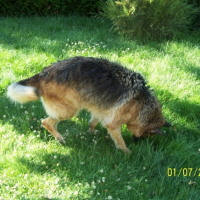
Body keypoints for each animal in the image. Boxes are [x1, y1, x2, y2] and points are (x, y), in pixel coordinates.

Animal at [7, 56, 171, 153]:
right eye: (146, 134)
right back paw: (60, 138)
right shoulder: (113, 124)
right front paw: (128, 152)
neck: (143, 105)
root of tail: (44, 73)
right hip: (69, 110)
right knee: (46, 122)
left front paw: (91, 133)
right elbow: (120, 141)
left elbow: (93, 122)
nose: (137, 142)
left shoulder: (100, 111)